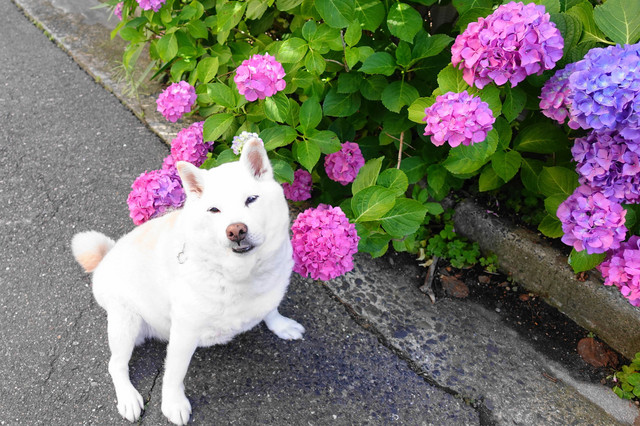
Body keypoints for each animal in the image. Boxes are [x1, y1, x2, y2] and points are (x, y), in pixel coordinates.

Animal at [71, 139, 304, 425]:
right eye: (214, 210)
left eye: (251, 199)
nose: (236, 230)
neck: (240, 275)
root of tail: (106, 257)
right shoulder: (184, 332)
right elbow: (174, 374)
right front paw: (173, 403)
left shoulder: (268, 290)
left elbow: (270, 309)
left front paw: (281, 325)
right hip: (126, 322)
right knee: (115, 365)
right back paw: (128, 398)